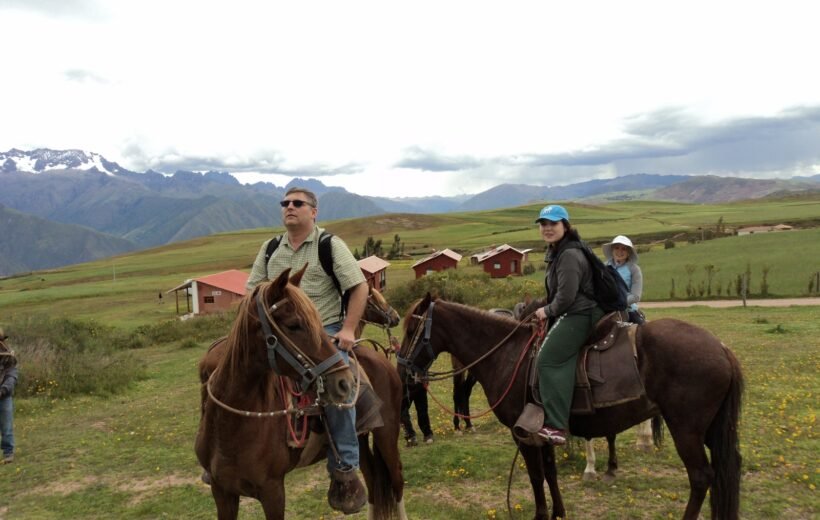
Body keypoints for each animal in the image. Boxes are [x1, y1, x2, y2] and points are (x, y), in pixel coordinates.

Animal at [195, 268, 406, 520]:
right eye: (294, 325)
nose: (345, 382)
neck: (231, 425)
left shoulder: (272, 491)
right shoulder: (222, 492)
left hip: (387, 434)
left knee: (397, 483)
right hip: (363, 440)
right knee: (373, 482)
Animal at [398, 296, 744, 520]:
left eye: (411, 329)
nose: (402, 369)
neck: (508, 355)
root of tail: (721, 348)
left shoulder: (522, 435)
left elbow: (536, 476)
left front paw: (541, 515)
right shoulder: (543, 432)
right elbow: (550, 473)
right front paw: (559, 512)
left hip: (686, 429)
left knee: (700, 477)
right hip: (711, 429)